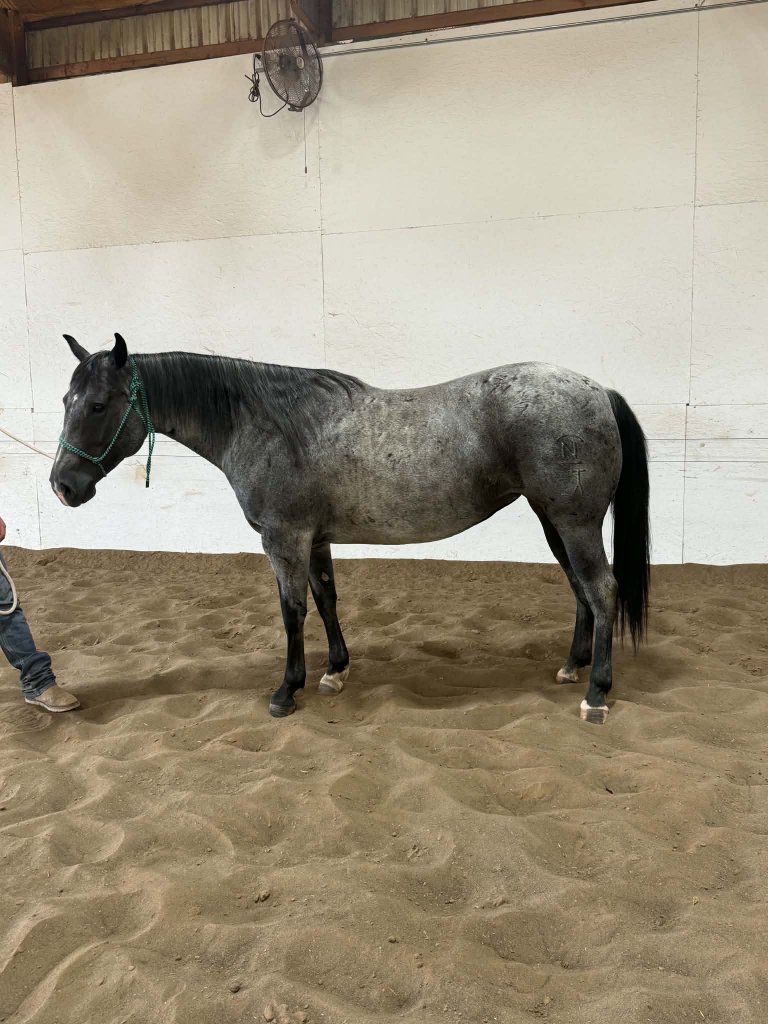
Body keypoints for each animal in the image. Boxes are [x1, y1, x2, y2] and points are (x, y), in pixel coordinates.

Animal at [51, 333, 649, 724]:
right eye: (65, 400)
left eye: (98, 404)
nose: (62, 485)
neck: (266, 425)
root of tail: (597, 390)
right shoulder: (314, 541)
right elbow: (326, 600)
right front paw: (335, 672)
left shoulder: (284, 540)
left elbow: (292, 612)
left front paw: (286, 691)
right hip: (555, 521)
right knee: (581, 591)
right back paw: (572, 668)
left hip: (573, 522)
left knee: (602, 590)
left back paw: (597, 694)